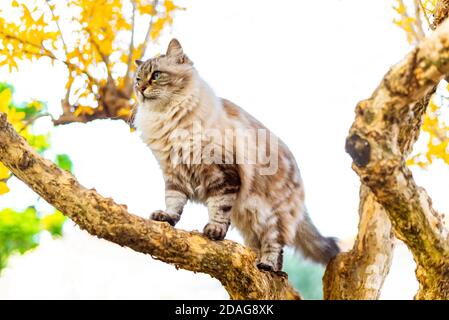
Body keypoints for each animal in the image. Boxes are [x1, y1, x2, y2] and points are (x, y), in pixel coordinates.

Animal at [135, 38, 338, 272]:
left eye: (156, 75)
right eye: (137, 79)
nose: (140, 89)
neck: (167, 119)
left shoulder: (223, 173)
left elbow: (219, 208)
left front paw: (214, 231)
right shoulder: (174, 174)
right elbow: (173, 201)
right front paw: (166, 217)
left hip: (270, 216)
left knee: (274, 244)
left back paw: (266, 266)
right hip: (251, 219)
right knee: (265, 247)